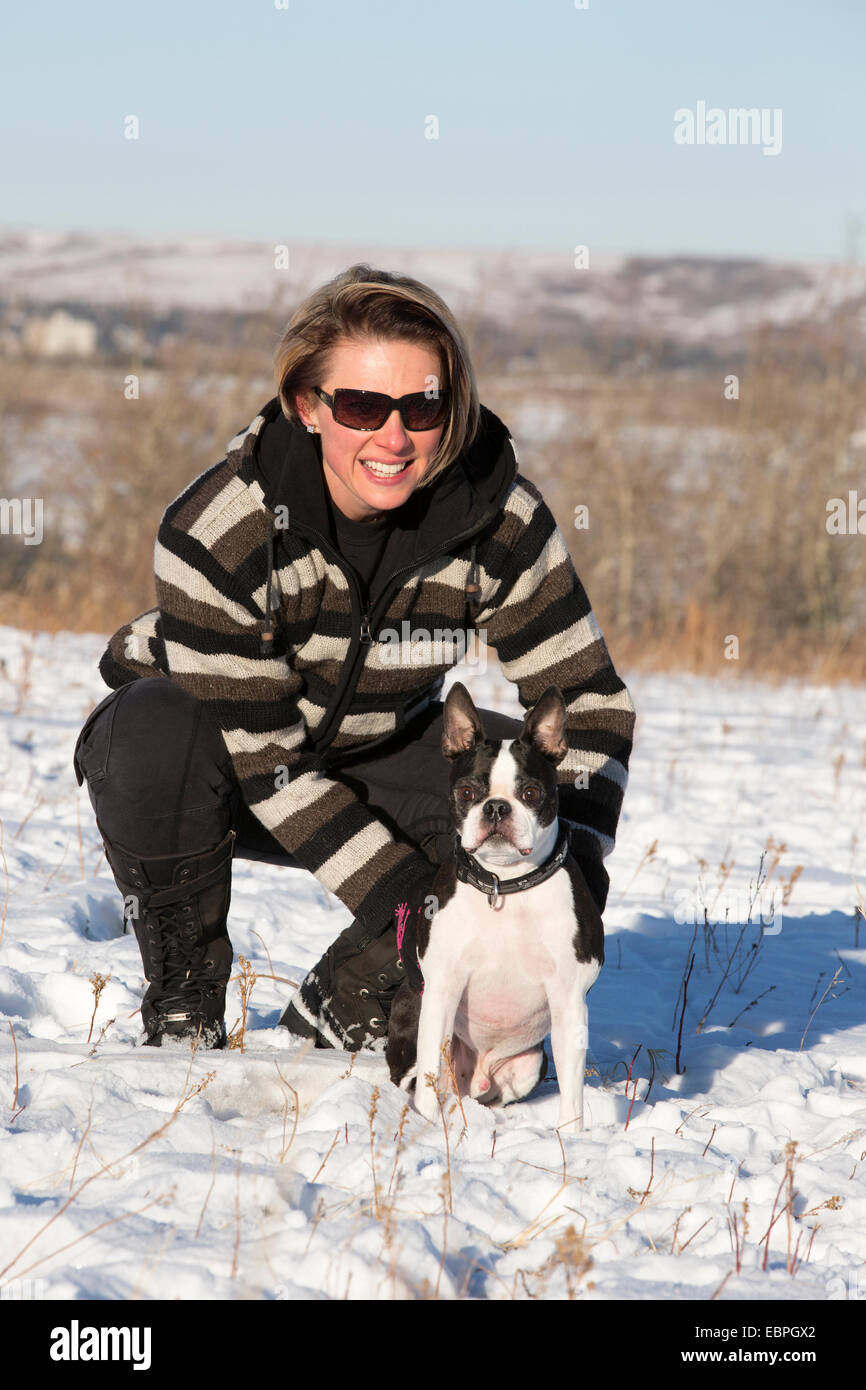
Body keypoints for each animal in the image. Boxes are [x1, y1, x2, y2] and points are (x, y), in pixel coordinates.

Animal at [389, 681, 606, 1128]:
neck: (502, 886)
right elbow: (430, 1072)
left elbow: (572, 1089)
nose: (496, 807)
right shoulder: (442, 988)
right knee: (423, 1076)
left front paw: (571, 1135)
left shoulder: (569, 999)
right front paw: (428, 1126)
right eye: (467, 792)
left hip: (530, 1065)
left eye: (531, 792)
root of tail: (476, 1075)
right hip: (417, 1014)